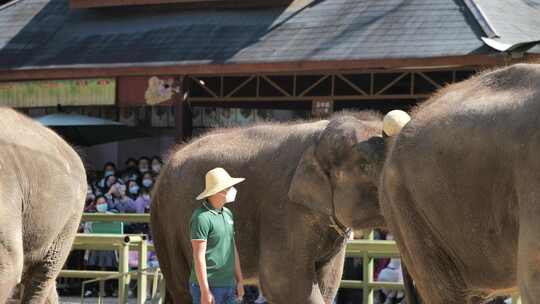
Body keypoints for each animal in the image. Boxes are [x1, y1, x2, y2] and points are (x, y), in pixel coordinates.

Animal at [150, 111, 402, 304]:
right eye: (364, 166)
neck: (317, 141)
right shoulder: (282, 208)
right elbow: (284, 284)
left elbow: (327, 281)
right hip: (167, 224)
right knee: (182, 285)